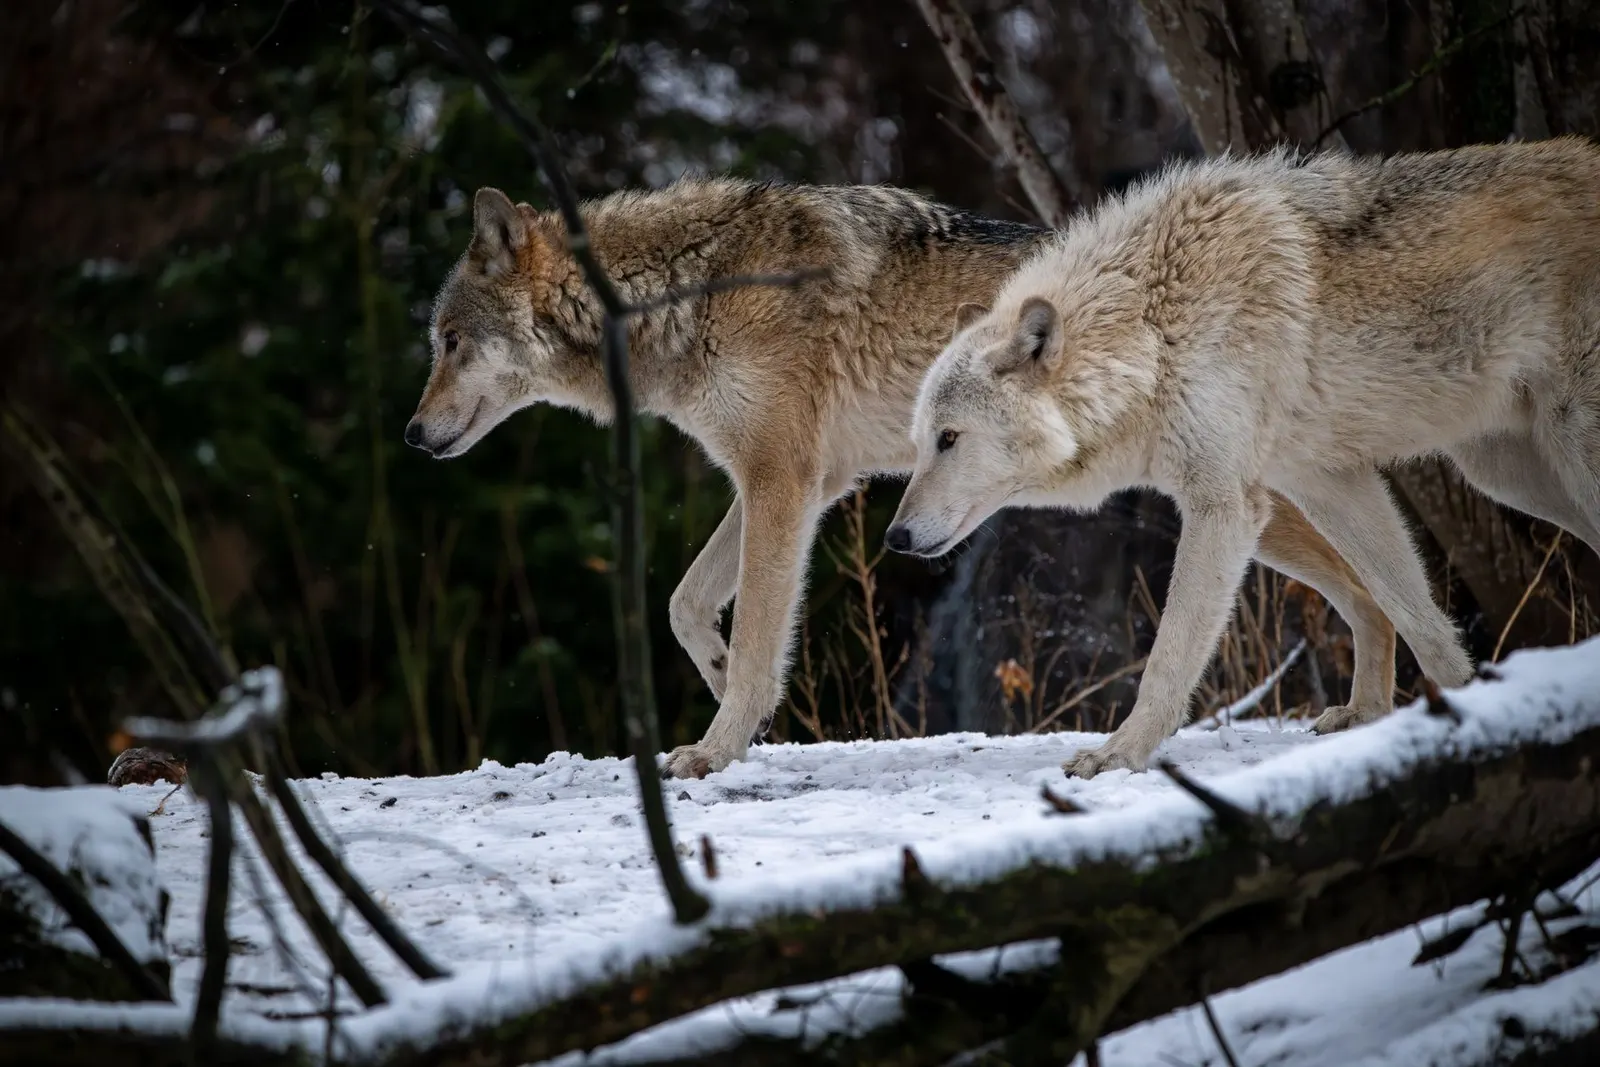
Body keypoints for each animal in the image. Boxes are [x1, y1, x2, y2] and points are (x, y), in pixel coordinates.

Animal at [407, 175, 1402, 778]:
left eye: (451, 341)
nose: (412, 436)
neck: (683, 293)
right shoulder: (805, 484)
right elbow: (687, 603)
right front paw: (720, 676)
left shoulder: (779, 479)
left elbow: (762, 633)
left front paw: (719, 745)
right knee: (1376, 589)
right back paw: (1371, 715)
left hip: (1239, 504)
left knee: (1372, 591)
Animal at [887, 136, 1600, 780]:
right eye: (918, 442)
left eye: (949, 439)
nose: (894, 538)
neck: (1153, 328)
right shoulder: (1323, 481)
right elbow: (1414, 614)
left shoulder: (1225, 507)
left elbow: (1169, 654)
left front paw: (1119, 755)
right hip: (1509, 475)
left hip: (1563, 455)